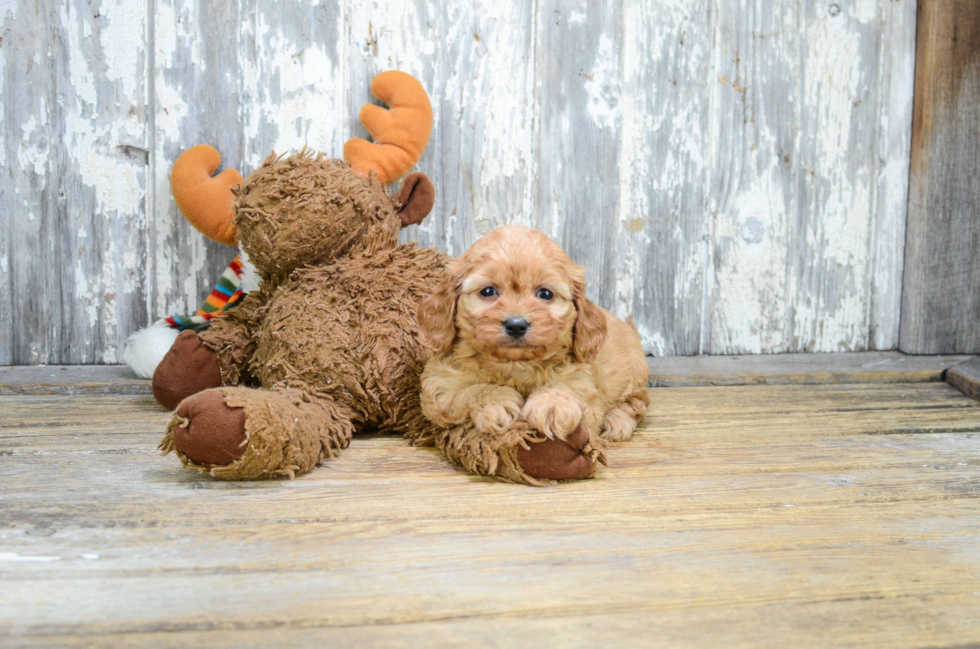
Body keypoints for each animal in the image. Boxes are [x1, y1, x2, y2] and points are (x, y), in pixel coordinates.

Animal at [416, 225, 652, 442]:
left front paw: (553, 404)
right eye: (488, 291)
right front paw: (495, 400)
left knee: (638, 402)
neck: (515, 365)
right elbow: (465, 392)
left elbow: (566, 388)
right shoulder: (438, 387)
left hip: (632, 376)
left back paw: (617, 421)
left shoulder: (583, 383)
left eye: (545, 294)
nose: (516, 325)